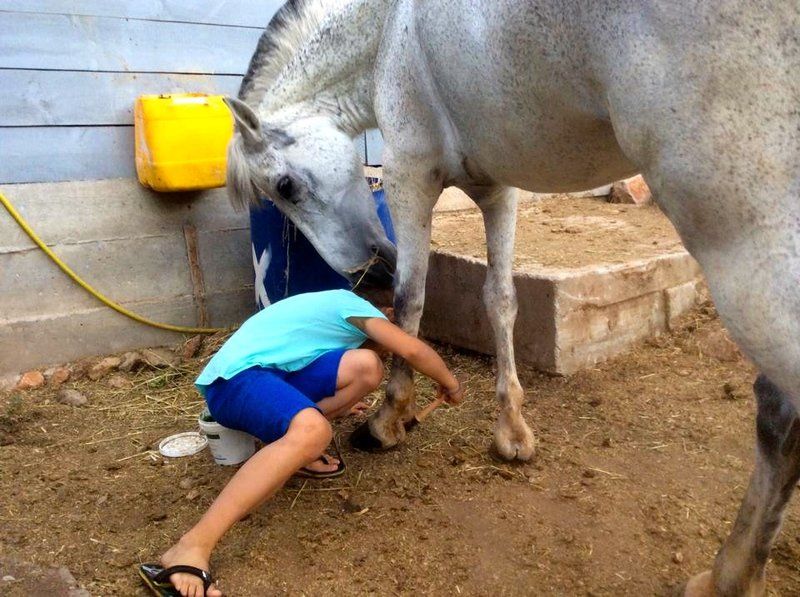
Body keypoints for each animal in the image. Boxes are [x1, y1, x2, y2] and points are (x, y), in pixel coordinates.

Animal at [224, 1, 800, 594]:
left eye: (286, 187)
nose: (359, 261)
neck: (388, 26)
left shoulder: (409, 176)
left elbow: (411, 298)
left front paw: (389, 419)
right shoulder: (497, 189)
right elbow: (500, 299)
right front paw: (512, 431)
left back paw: (728, 575)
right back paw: (734, 572)